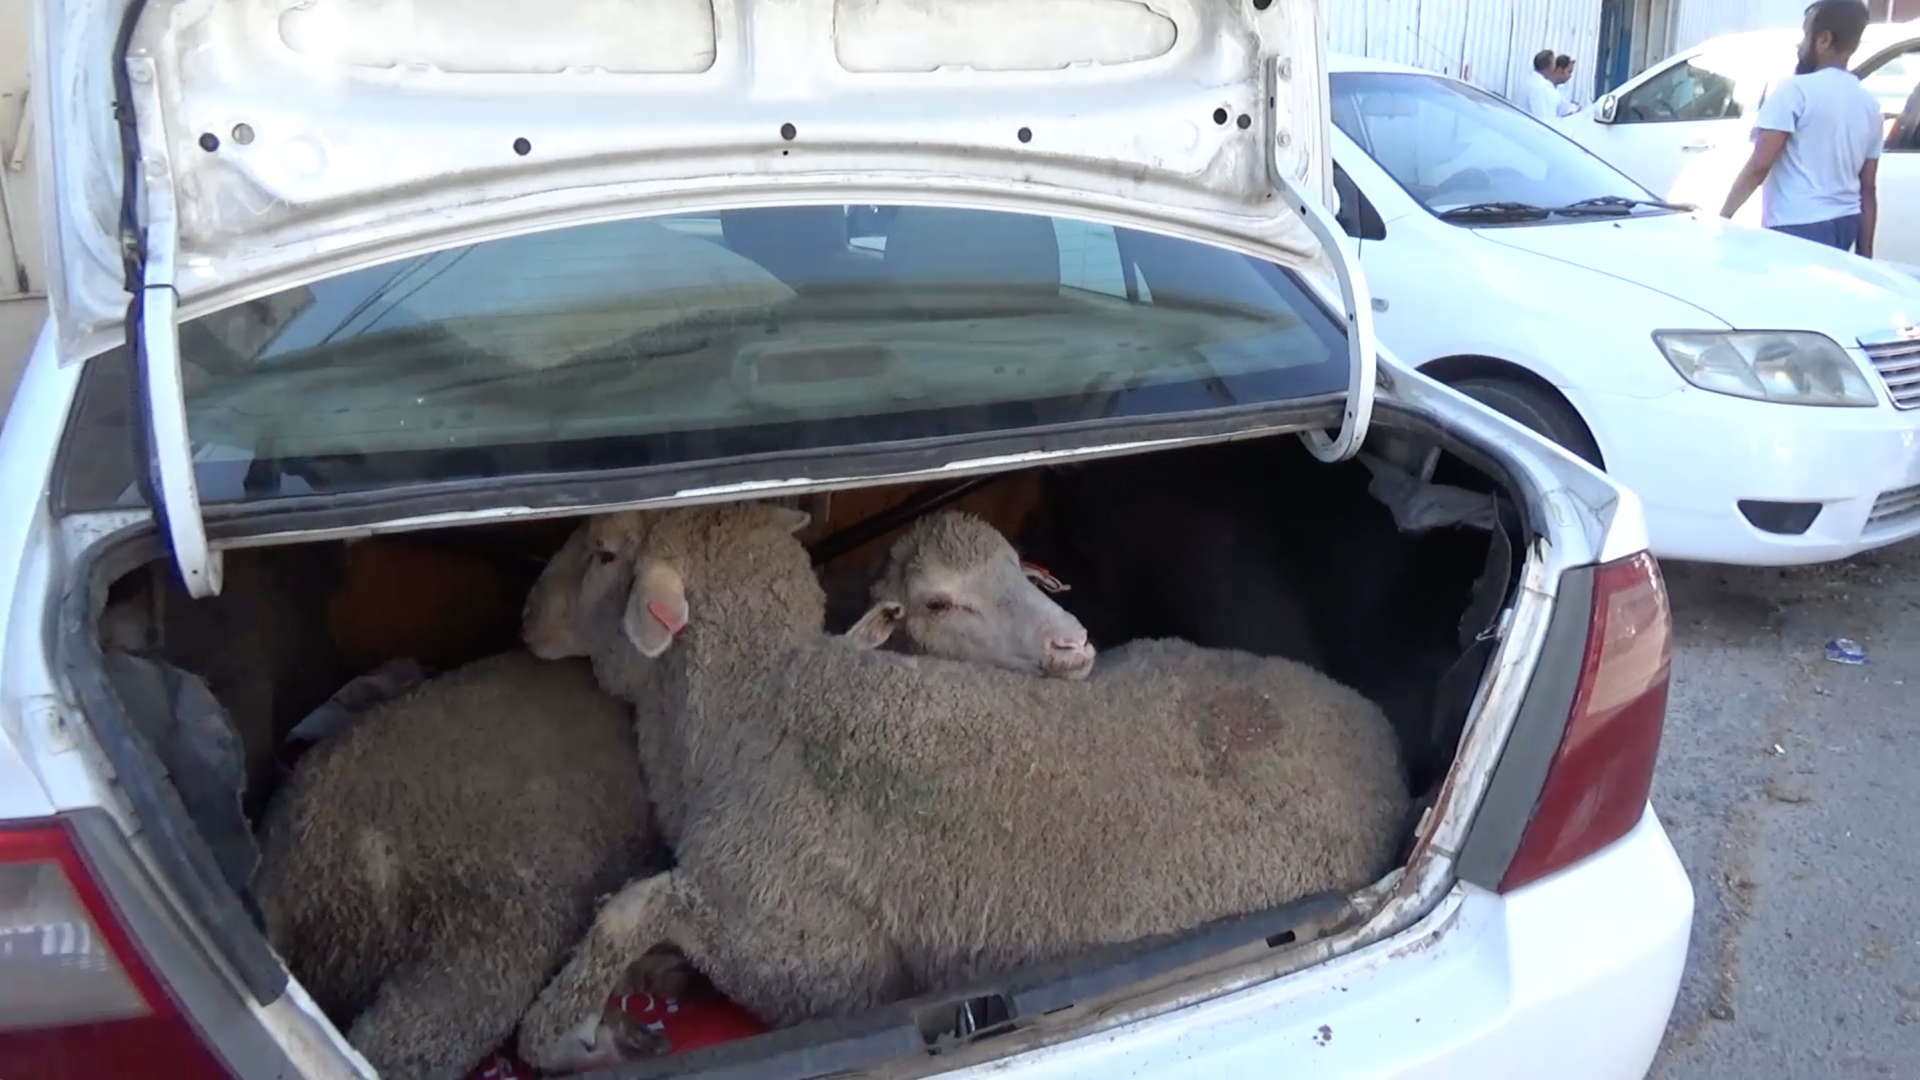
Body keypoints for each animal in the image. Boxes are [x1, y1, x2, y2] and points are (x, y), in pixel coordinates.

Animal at [518, 503, 1405, 1060]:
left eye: (603, 552)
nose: (526, 617)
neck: (757, 704)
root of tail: (1385, 754)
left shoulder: (818, 961)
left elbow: (631, 911)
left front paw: (569, 1035)